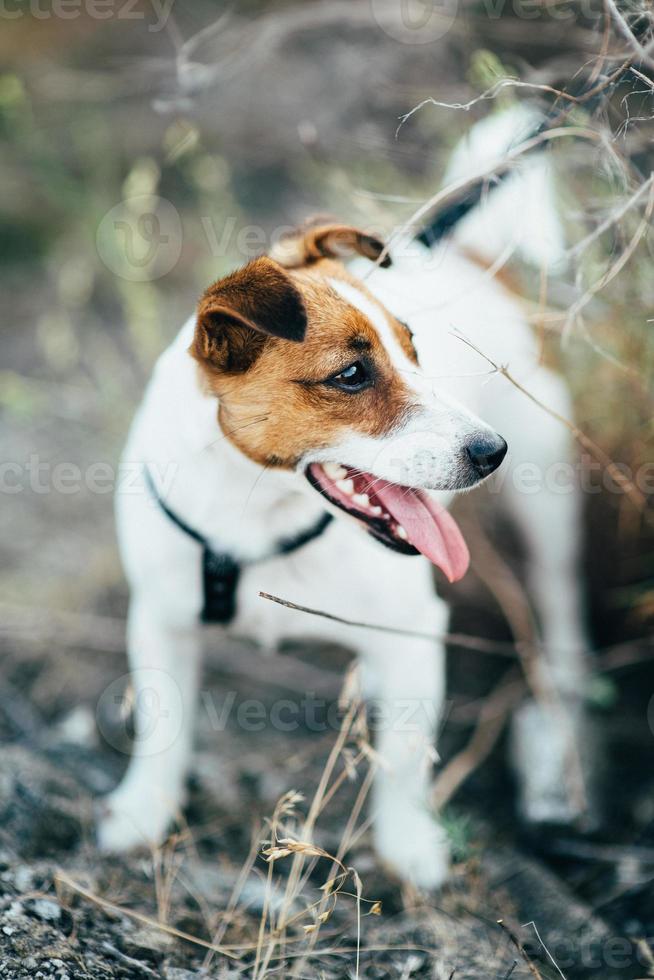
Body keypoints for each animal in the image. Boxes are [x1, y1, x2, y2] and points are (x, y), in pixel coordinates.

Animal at [98, 107, 596, 888]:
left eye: (415, 350)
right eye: (352, 374)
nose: (491, 452)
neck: (255, 517)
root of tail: (476, 253)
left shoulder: (414, 630)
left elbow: (404, 758)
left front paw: (408, 845)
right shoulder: (162, 618)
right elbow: (162, 726)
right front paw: (144, 811)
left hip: (550, 498)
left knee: (559, 595)